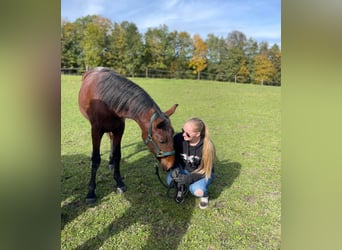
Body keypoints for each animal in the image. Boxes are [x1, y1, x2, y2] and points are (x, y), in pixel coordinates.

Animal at [78, 67, 178, 203]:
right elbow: (95, 159)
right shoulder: (96, 131)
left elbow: (117, 155)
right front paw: (91, 192)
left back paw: (110, 163)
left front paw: (119, 182)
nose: (170, 165)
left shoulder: (119, 129)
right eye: (162, 140)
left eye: (173, 134)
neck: (108, 101)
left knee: (111, 139)